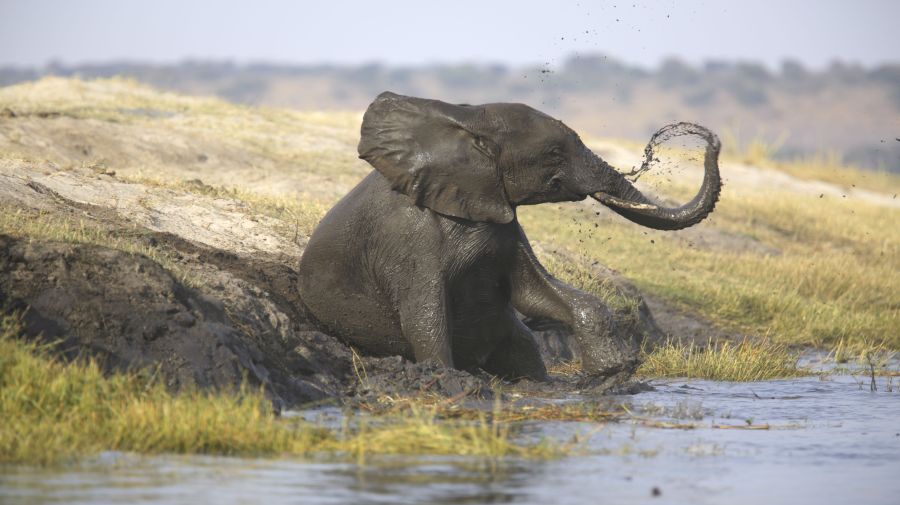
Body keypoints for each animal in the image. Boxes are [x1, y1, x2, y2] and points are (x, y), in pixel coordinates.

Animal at [298, 92, 720, 380]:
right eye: (554, 153)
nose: (709, 140)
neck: (468, 119)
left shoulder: (503, 220)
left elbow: (537, 293)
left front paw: (613, 370)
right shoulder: (407, 240)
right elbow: (425, 316)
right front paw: (448, 380)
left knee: (525, 349)